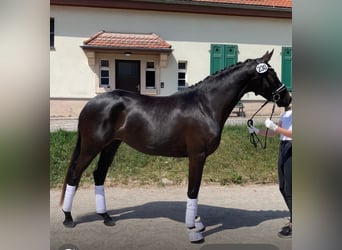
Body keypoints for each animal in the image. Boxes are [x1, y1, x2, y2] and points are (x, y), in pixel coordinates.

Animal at [60, 49, 290, 243]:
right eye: (271, 73)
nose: (286, 98)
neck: (205, 105)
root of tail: (90, 104)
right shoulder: (197, 155)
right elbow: (193, 190)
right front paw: (193, 230)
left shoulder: (198, 157)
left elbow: (195, 189)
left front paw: (197, 221)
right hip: (92, 147)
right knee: (75, 175)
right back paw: (68, 218)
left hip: (111, 146)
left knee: (99, 175)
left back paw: (106, 217)